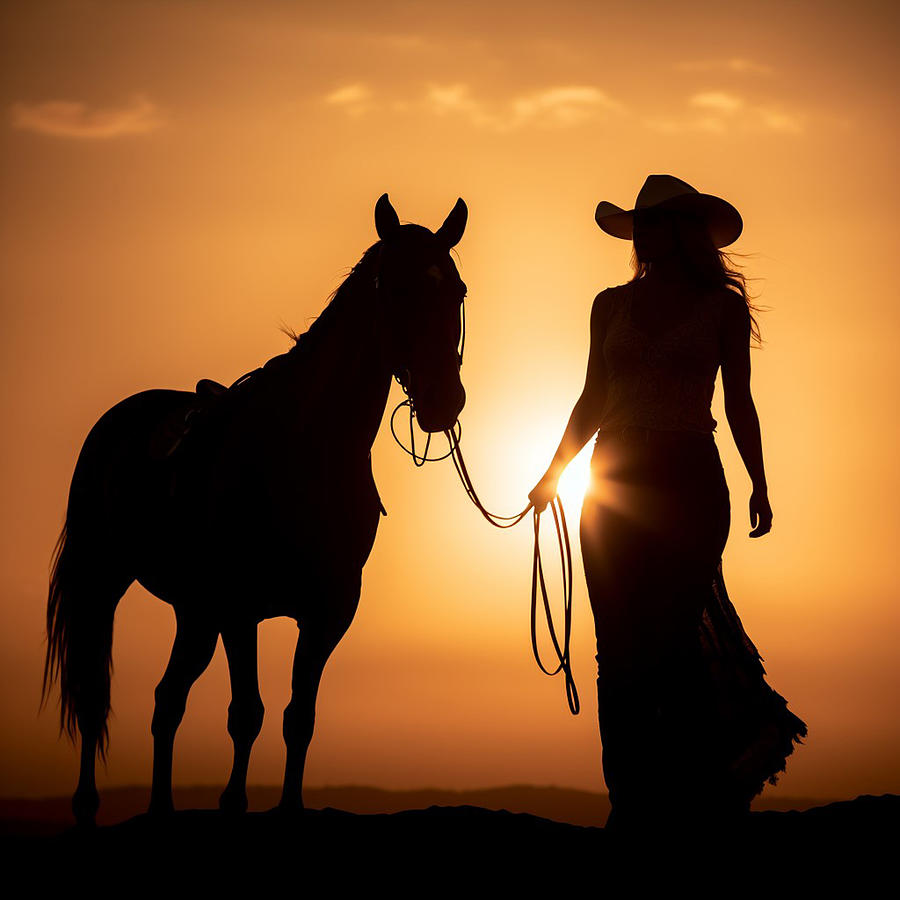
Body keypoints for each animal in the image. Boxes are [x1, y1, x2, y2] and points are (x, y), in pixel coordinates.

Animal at [41, 193, 468, 828]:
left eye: (456, 291)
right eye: (395, 288)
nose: (443, 399)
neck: (305, 449)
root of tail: (117, 421)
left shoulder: (328, 612)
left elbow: (298, 717)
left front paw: (288, 806)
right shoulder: (241, 609)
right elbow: (247, 714)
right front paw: (232, 804)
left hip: (194, 613)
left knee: (167, 701)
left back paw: (162, 809)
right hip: (107, 582)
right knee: (96, 694)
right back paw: (88, 805)